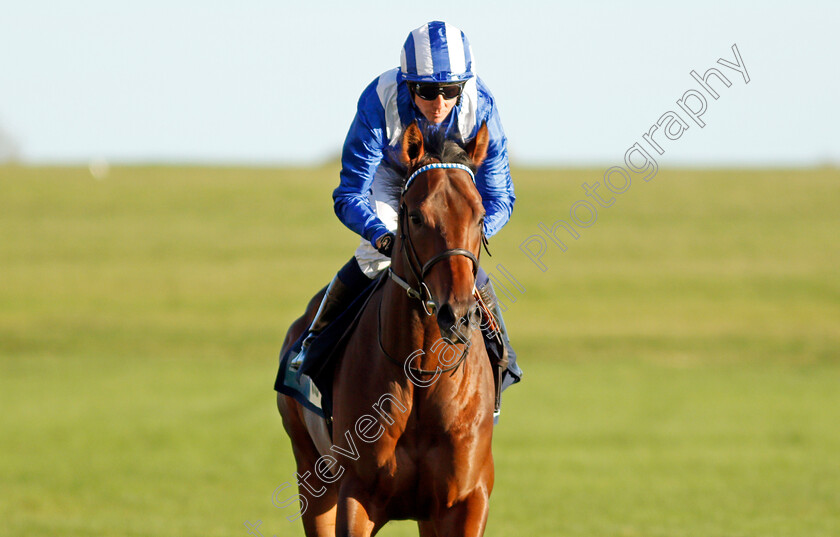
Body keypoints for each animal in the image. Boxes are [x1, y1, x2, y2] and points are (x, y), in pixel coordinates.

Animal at [278, 121, 496, 536]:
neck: (422, 373)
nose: (458, 314)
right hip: (310, 474)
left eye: (479, 217)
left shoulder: (466, 500)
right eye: (416, 217)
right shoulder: (357, 494)